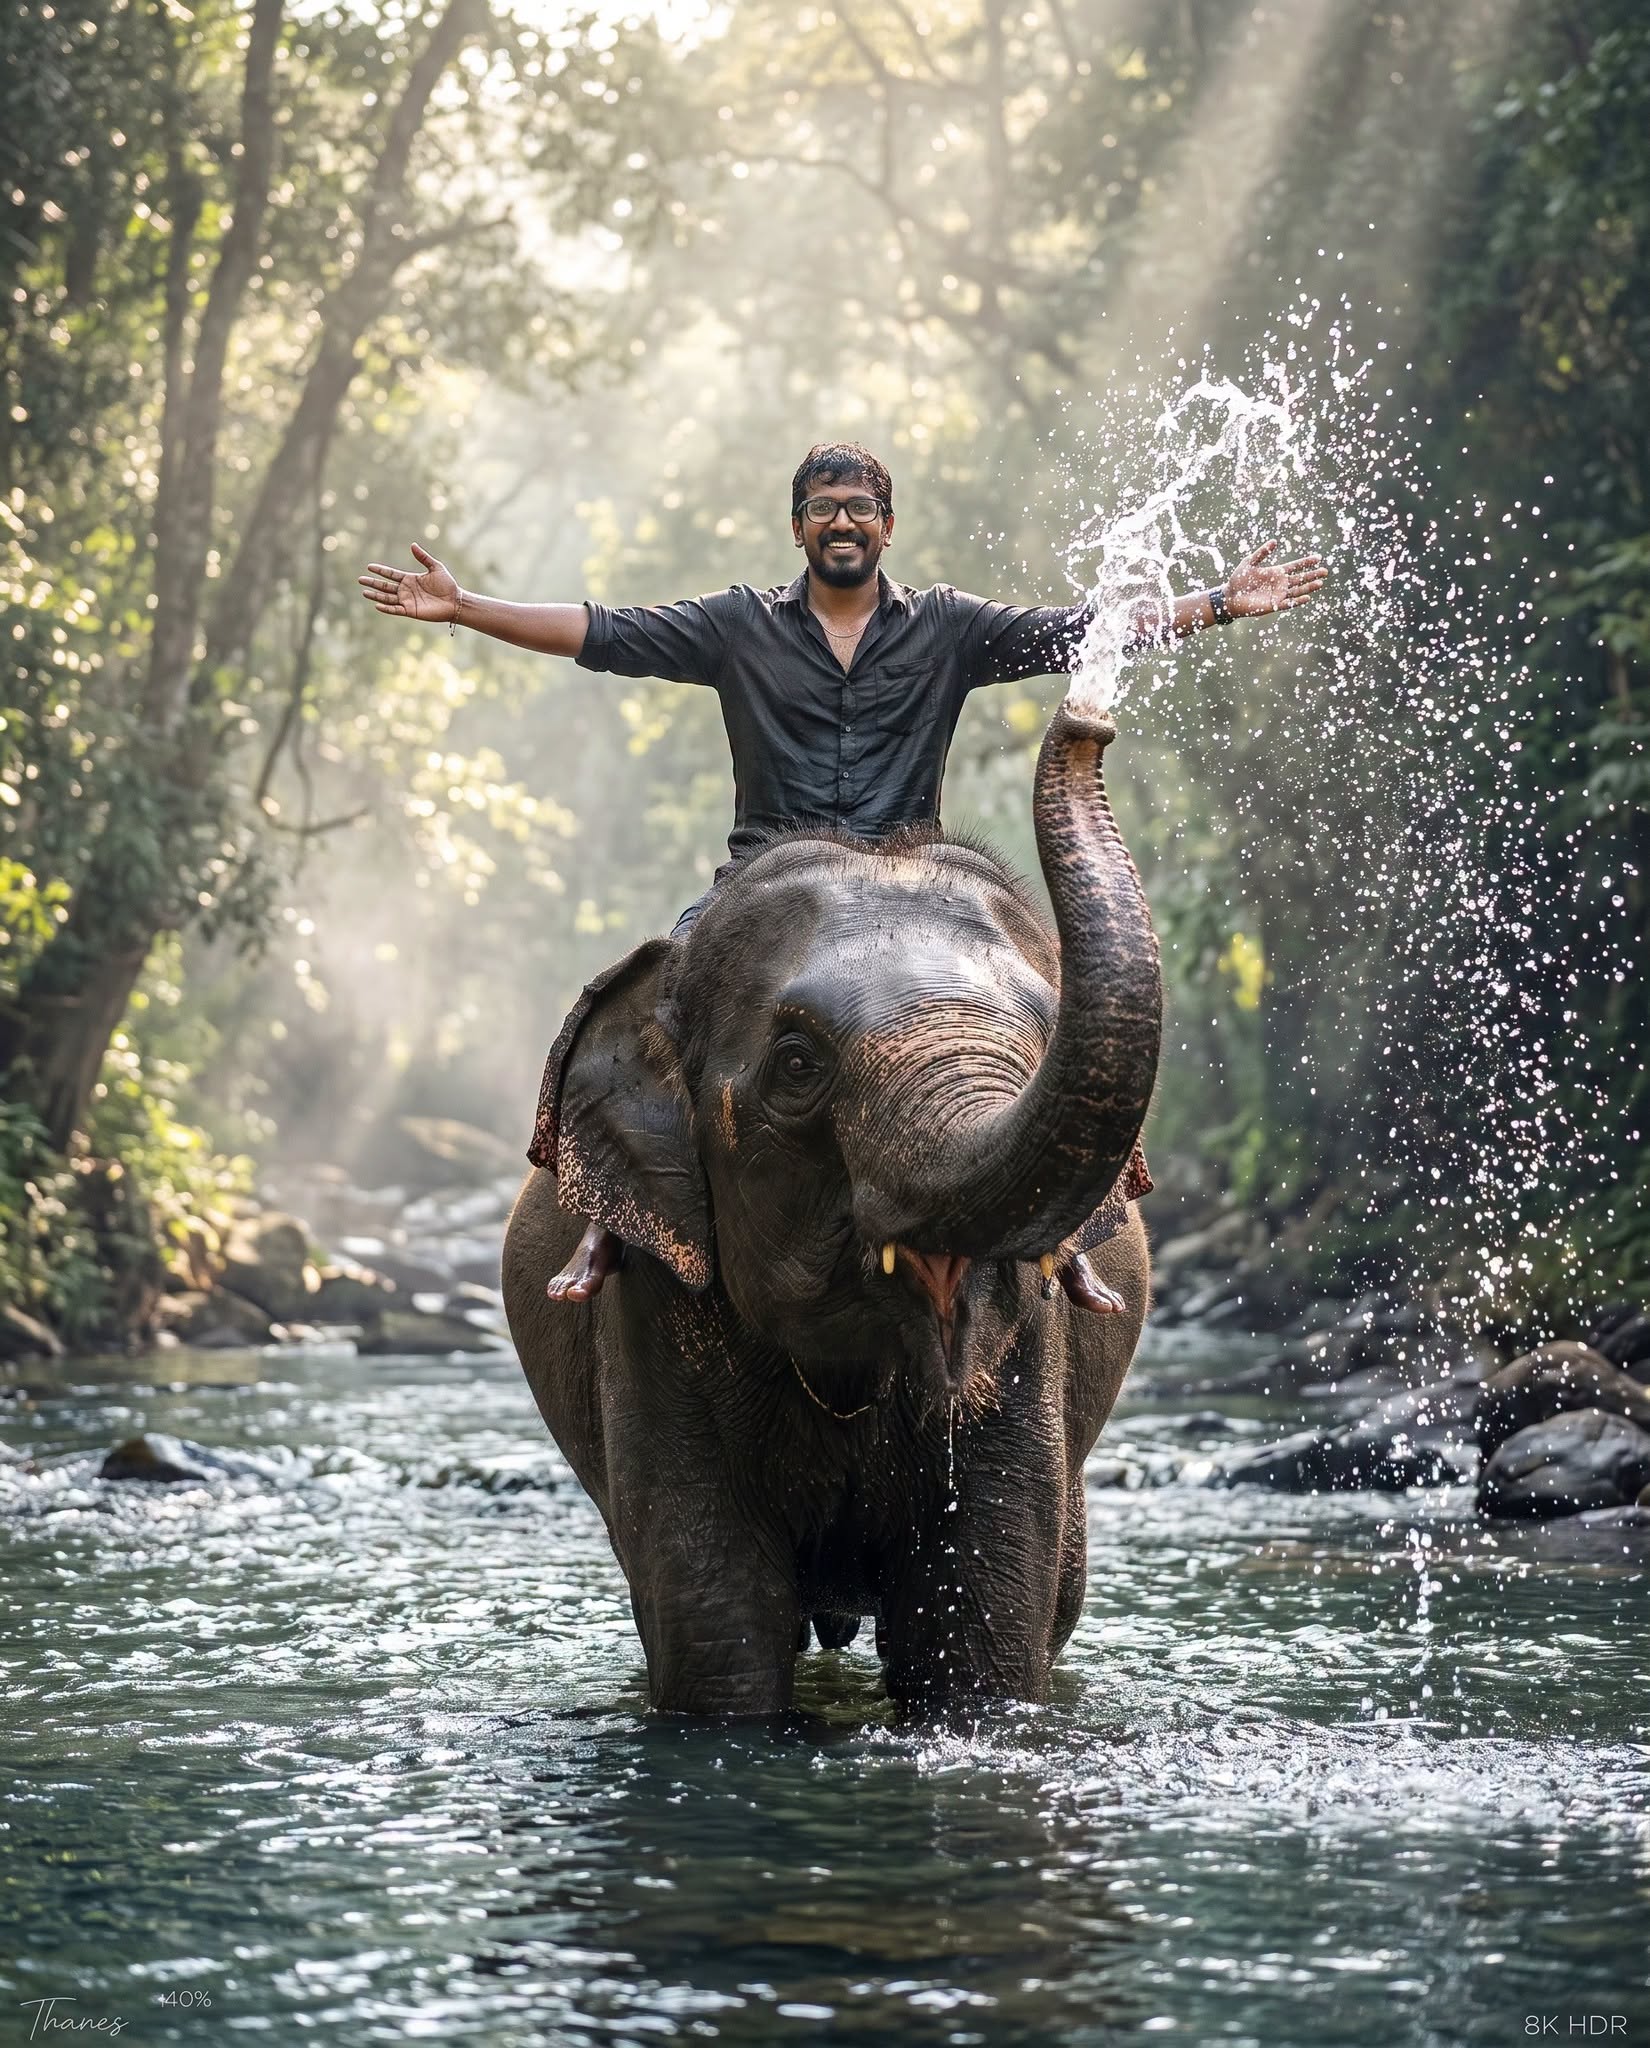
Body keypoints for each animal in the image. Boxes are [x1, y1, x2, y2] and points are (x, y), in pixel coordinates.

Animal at [501, 702, 1161, 1715]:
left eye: (1045, 1034)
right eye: (797, 1064)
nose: (1090, 720)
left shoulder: (1030, 1350)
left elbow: (978, 1642)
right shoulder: (652, 1305)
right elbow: (717, 1639)